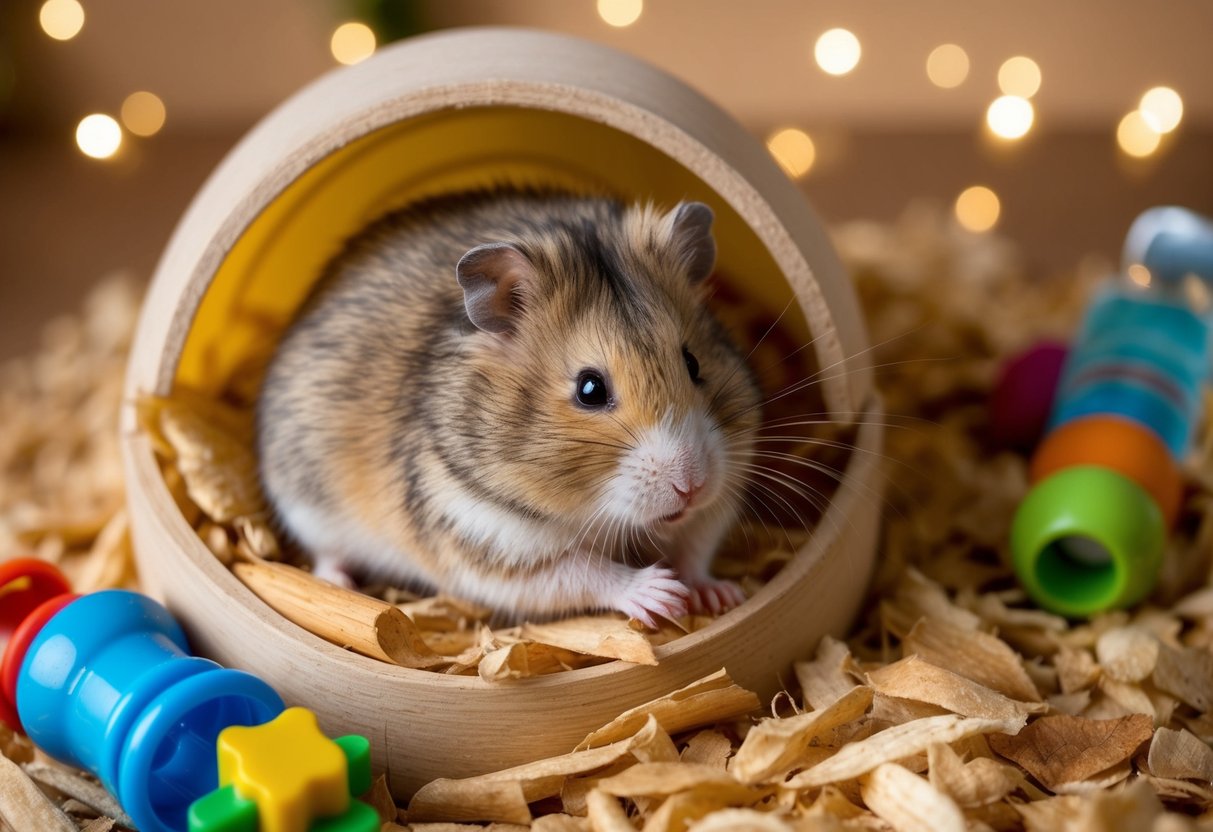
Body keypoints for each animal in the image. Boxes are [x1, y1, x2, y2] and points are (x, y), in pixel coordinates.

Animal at [256, 188, 763, 626]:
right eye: (590, 389)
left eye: (693, 362)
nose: (691, 487)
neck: (599, 513)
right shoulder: (486, 542)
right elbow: (582, 572)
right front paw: (662, 595)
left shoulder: (720, 496)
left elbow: (695, 549)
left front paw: (718, 595)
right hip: (308, 503)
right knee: (327, 553)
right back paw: (342, 585)